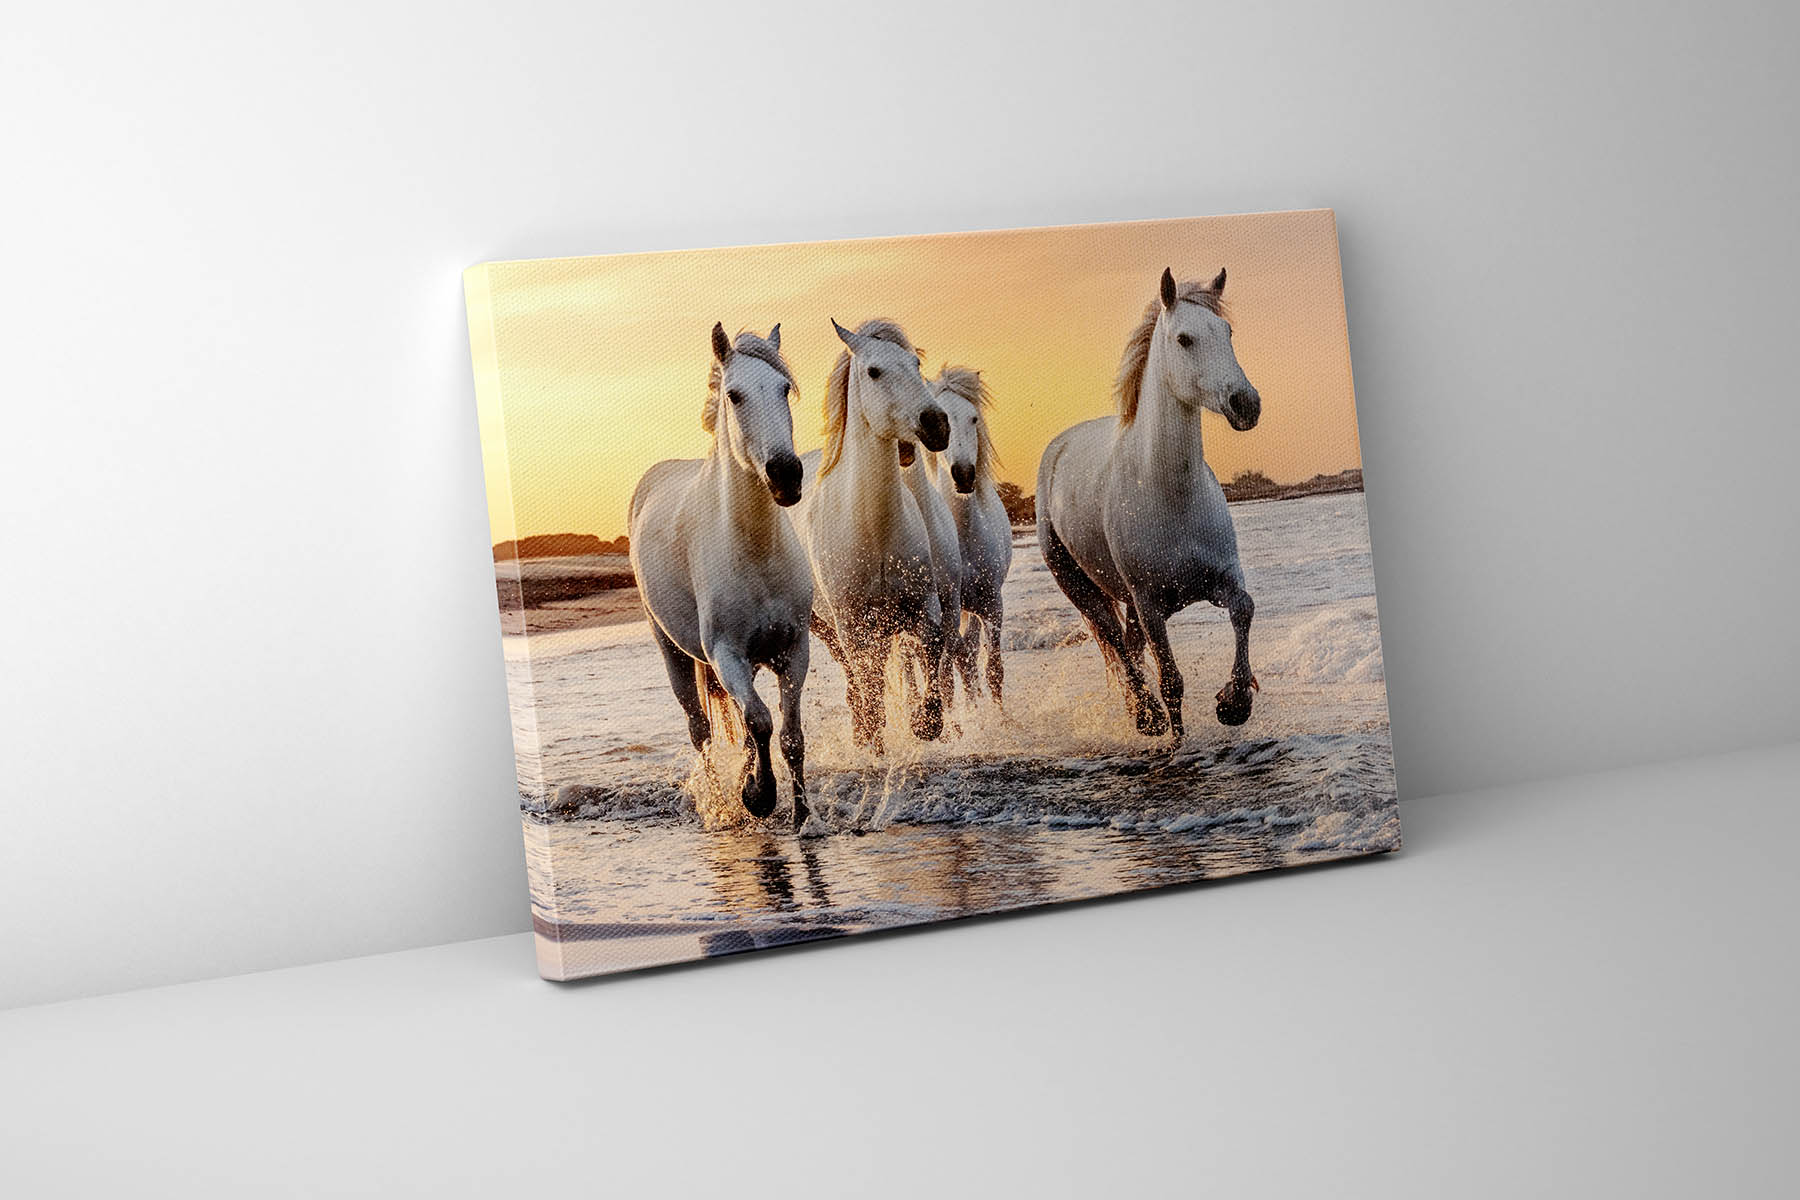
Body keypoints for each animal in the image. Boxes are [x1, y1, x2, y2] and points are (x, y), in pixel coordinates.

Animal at [628, 323, 813, 828]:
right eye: (734, 395)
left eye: (784, 388)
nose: (786, 475)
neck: (755, 553)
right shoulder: (727, 655)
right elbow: (761, 722)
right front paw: (759, 795)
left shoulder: (794, 650)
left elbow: (789, 735)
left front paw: (803, 817)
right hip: (673, 652)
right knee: (701, 731)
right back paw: (717, 802)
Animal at [800, 318, 951, 752]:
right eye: (873, 371)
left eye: (915, 364)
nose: (937, 424)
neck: (874, 532)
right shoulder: (853, 626)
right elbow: (869, 690)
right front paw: (874, 737)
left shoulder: (922, 606)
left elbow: (933, 648)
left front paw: (924, 723)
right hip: (828, 627)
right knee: (857, 682)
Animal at [1035, 268, 1263, 739]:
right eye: (1184, 339)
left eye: (1227, 331)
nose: (1245, 404)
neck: (1170, 495)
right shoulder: (1150, 605)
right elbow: (1172, 682)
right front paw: (1176, 735)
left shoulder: (1222, 581)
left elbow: (1245, 609)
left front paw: (1234, 702)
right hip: (1080, 586)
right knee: (1116, 643)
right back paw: (1145, 716)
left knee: (1128, 645)